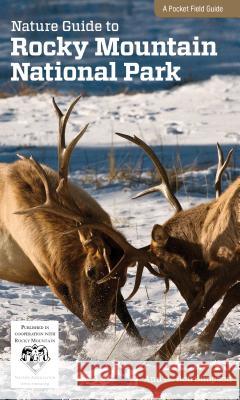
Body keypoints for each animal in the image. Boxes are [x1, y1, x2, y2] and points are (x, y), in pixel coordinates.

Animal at [97, 134, 238, 360]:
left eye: (162, 266)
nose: (189, 298)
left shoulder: (228, 262)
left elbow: (201, 308)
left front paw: (160, 354)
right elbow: (228, 297)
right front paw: (200, 342)